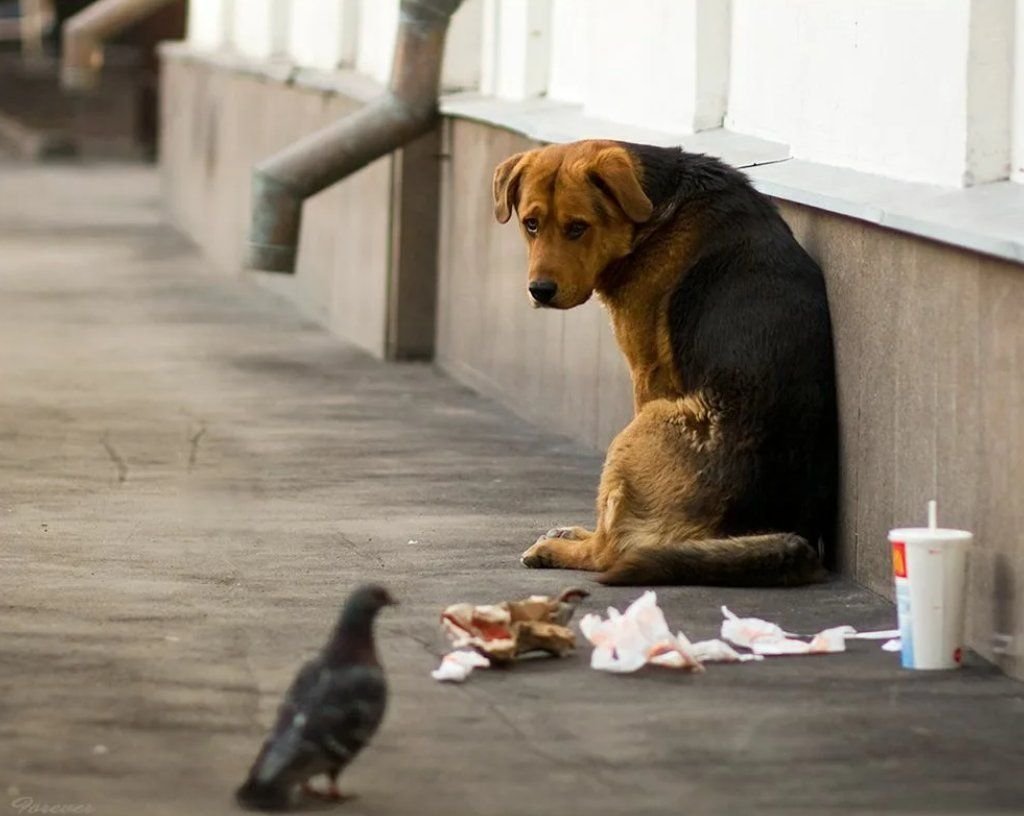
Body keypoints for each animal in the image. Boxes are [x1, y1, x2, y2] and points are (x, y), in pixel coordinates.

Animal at [495, 140, 839, 585]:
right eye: (531, 224)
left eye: (577, 227)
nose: (540, 291)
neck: (654, 210)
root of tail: (789, 535)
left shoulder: (646, 373)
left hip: (648, 421)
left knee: (611, 549)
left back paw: (559, 549)